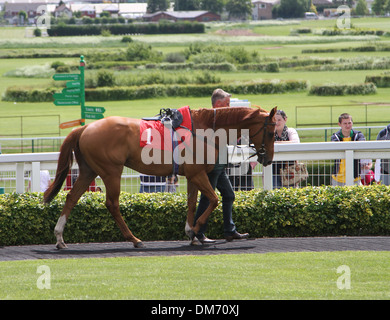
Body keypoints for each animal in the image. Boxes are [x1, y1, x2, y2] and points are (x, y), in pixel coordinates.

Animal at [44, 106, 276, 249]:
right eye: (272, 132)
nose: (268, 159)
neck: (205, 129)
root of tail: (85, 127)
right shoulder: (198, 174)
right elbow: (214, 199)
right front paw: (196, 230)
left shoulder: (192, 175)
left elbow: (192, 202)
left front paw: (191, 233)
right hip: (111, 171)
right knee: (112, 204)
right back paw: (134, 239)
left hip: (88, 171)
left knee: (71, 197)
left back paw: (59, 237)